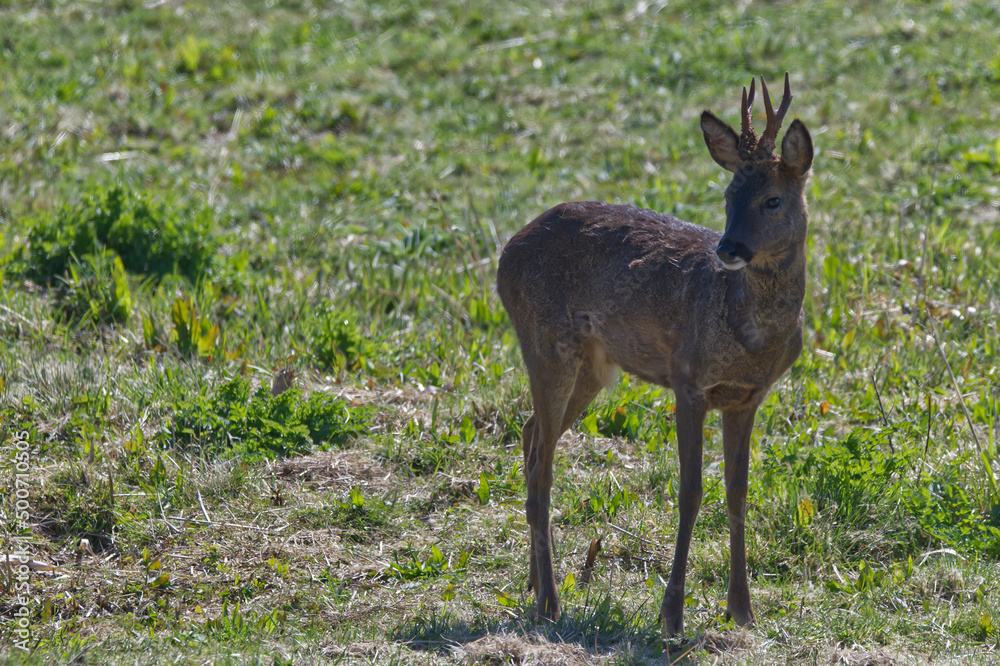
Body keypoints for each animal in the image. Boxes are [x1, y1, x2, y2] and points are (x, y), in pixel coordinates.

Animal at [495, 74, 813, 636]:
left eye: (773, 200)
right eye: (729, 196)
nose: (728, 248)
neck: (750, 337)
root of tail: (504, 255)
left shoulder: (746, 398)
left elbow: (738, 492)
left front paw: (742, 610)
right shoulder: (688, 381)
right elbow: (690, 492)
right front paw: (672, 613)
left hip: (591, 367)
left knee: (531, 434)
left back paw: (534, 584)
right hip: (546, 341)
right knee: (543, 462)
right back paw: (550, 603)